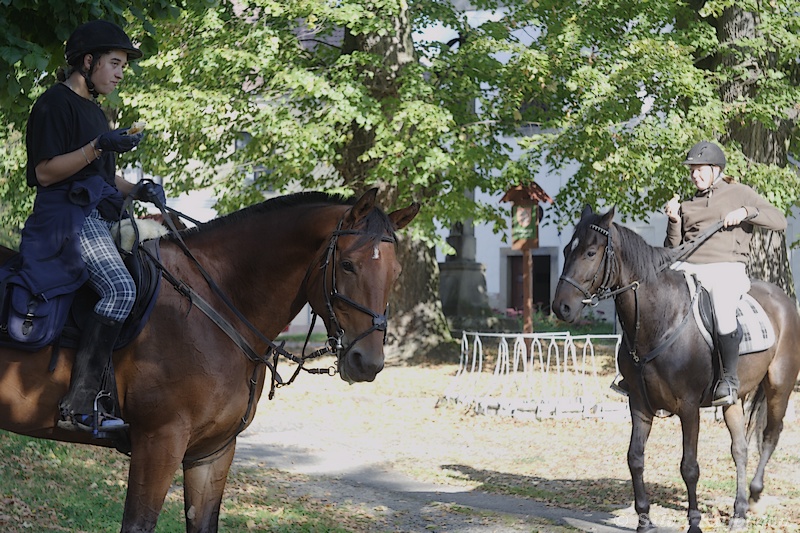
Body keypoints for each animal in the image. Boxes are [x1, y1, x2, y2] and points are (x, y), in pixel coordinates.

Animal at [0, 186, 422, 528]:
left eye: (396, 270)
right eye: (347, 264)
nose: (367, 361)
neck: (217, 303)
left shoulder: (212, 453)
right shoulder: (159, 443)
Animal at [552, 207, 800, 532]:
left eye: (590, 252)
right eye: (566, 251)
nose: (560, 308)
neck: (660, 320)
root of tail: (782, 299)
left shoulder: (689, 407)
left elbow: (689, 466)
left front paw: (694, 522)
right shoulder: (639, 403)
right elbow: (635, 458)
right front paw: (644, 518)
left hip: (779, 386)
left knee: (771, 434)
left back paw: (756, 495)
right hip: (734, 399)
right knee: (740, 448)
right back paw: (739, 512)